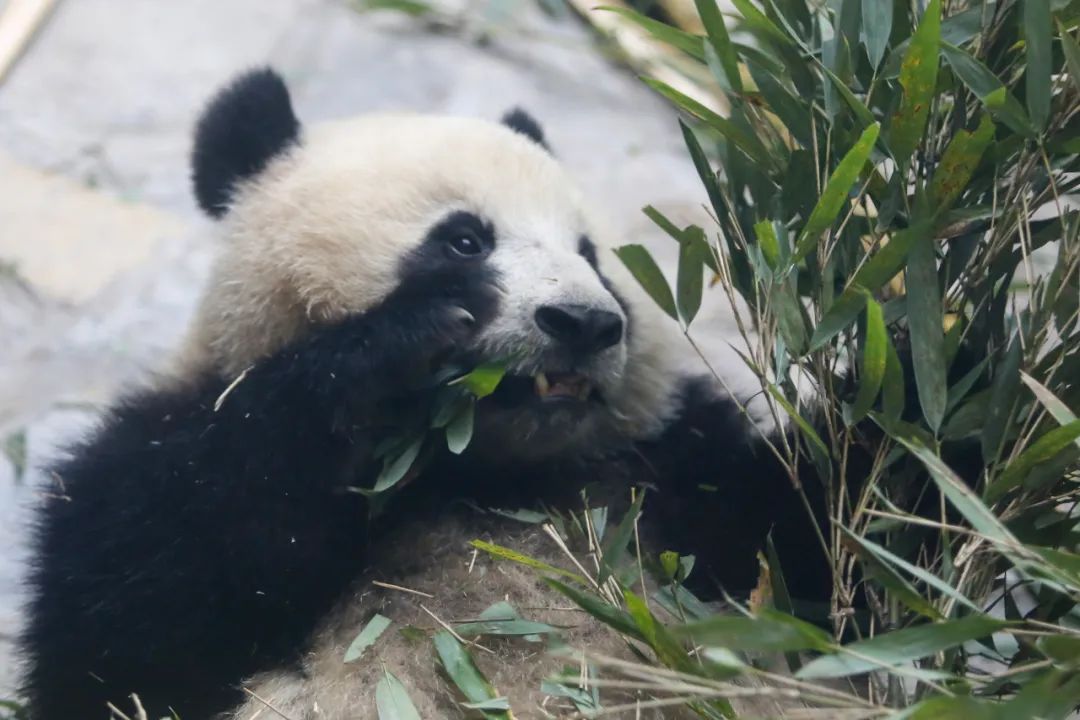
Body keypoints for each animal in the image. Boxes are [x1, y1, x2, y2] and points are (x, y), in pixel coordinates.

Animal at [19, 69, 816, 720]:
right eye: (464, 240)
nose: (584, 323)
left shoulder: (665, 471)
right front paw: (395, 344)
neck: (483, 472)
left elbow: (785, 548)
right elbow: (131, 641)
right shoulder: (167, 448)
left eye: (590, 255)